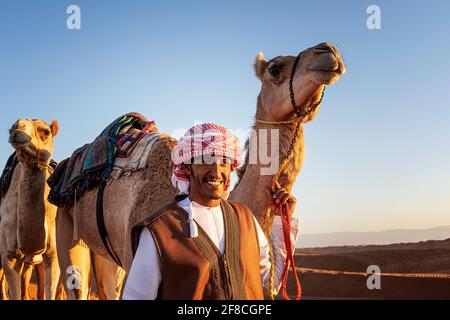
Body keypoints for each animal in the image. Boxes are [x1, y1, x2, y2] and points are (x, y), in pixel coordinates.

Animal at [56, 43, 344, 300]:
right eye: (275, 68)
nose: (328, 51)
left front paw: (286, 201)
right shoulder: (135, 253)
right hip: (67, 226)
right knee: (76, 285)